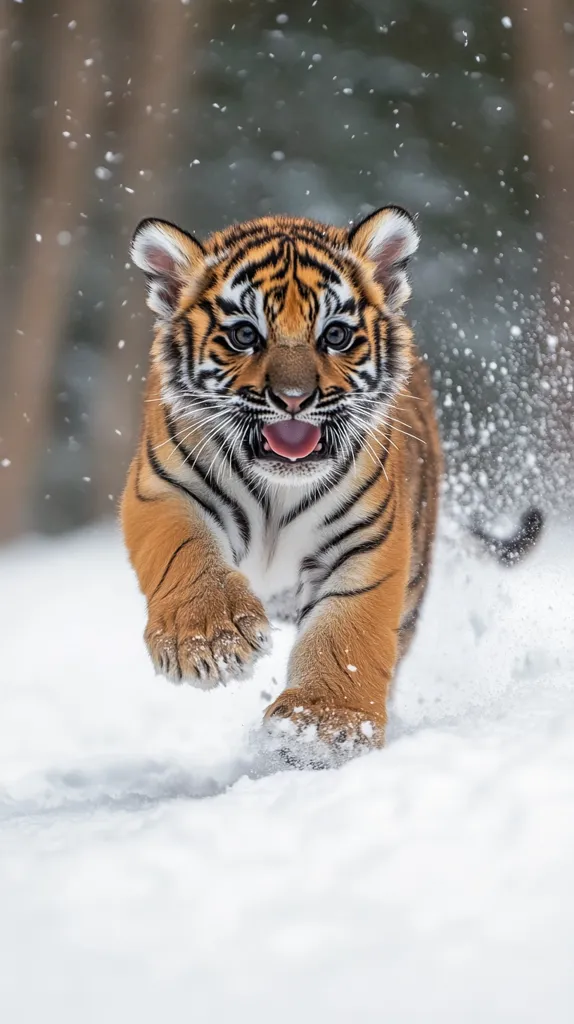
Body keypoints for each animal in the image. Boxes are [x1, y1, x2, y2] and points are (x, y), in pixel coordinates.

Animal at [121, 206, 542, 756]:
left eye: (336, 335)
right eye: (244, 336)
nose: (294, 398)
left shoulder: (368, 540)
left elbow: (348, 631)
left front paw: (323, 727)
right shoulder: (165, 490)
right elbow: (187, 553)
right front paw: (210, 640)